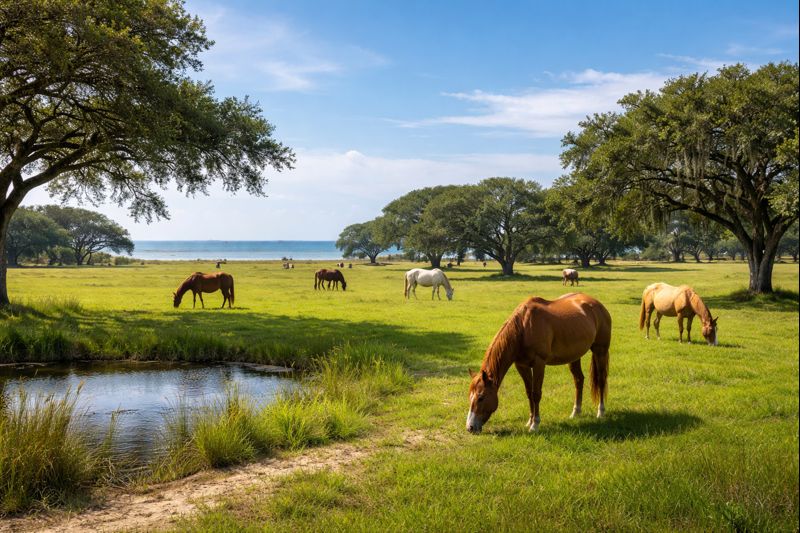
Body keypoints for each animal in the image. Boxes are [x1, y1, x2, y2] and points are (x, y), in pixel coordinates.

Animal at [466, 293, 611, 433]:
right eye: (470, 397)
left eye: (481, 397)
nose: (470, 428)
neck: (523, 328)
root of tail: (598, 305)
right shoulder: (522, 366)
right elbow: (529, 393)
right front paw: (529, 421)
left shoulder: (539, 364)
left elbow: (536, 394)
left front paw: (535, 425)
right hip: (574, 356)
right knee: (579, 380)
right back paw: (576, 412)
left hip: (600, 351)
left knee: (601, 379)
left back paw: (601, 412)